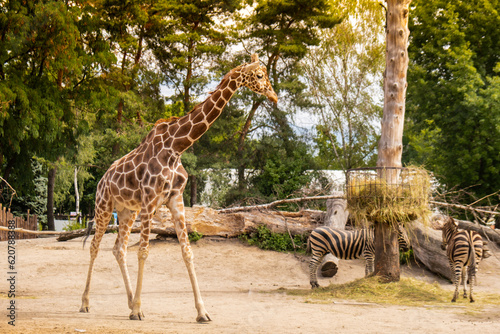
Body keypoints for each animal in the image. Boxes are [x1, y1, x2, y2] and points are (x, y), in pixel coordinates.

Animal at [80, 53, 280, 322]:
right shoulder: (150, 200)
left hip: (127, 211)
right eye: (259, 75)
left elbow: (187, 252)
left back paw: (129, 302)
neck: (177, 147)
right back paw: (86, 303)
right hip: (103, 206)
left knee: (118, 249)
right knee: (94, 247)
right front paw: (139, 310)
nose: (274, 96)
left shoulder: (176, 199)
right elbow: (143, 252)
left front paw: (202, 312)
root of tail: (102, 180)